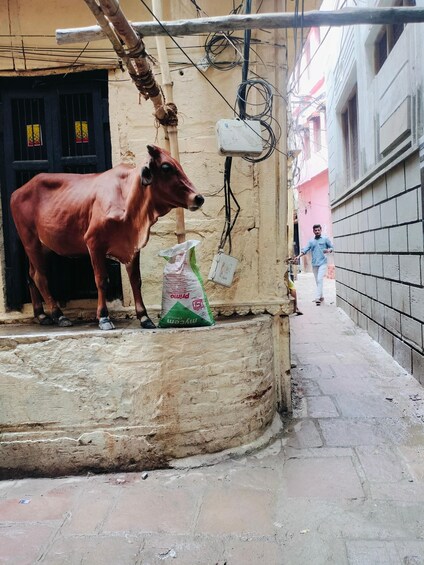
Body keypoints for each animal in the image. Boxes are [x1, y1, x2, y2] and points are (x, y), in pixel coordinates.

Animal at [12, 144, 205, 330]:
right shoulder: (94, 243)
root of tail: (18, 191)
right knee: (40, 277)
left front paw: (144, 317)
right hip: (30, 241)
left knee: (31, 275)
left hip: (42, 246)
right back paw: (58, 315)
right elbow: (101, 280)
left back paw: (41, 315)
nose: (199, 198)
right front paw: (104, 317)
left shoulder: (132, 247)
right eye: (166, 167)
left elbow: (136, 280)